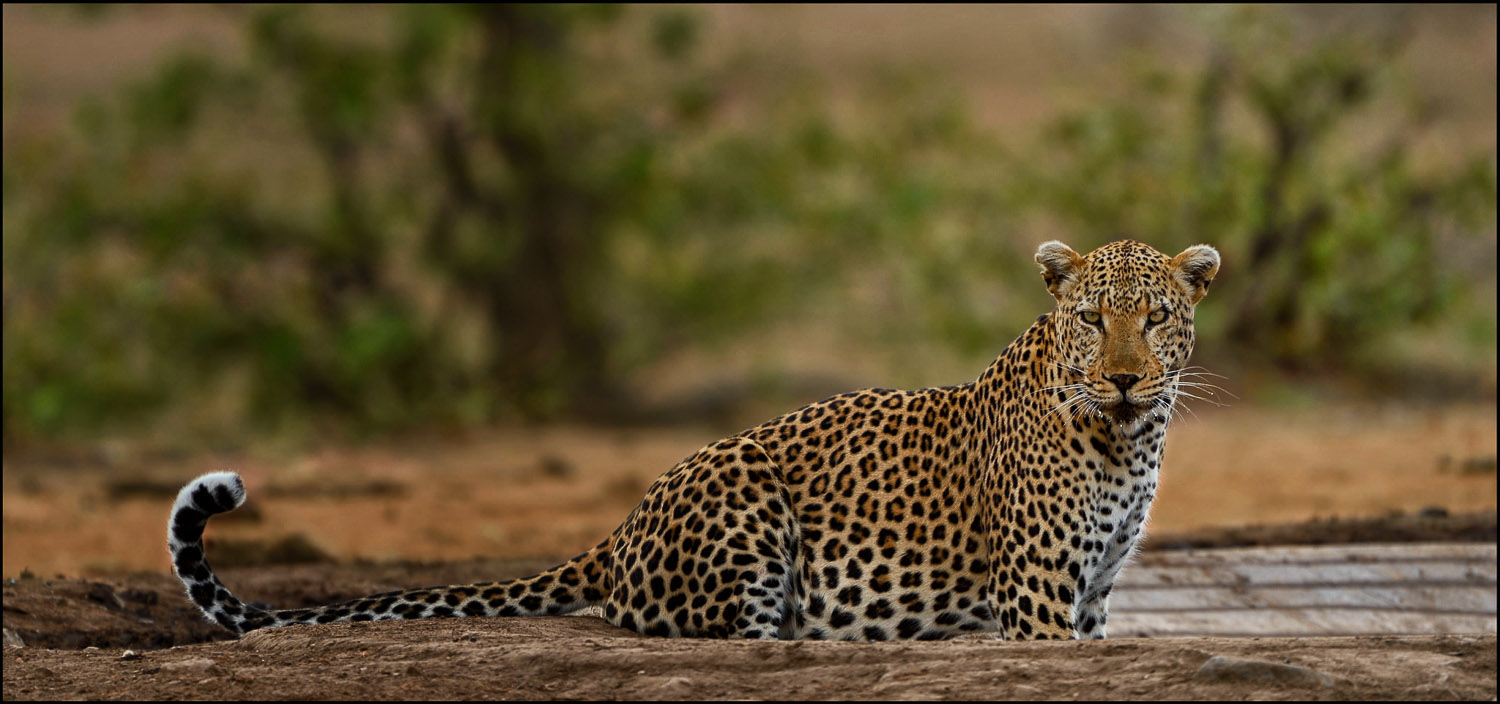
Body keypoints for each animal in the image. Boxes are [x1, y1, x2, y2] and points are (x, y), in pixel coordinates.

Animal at [168, 238, 1220, 641]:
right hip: (748, 519)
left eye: (1157, 318)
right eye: (1091, 319)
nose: (1125, 376)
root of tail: (620, 528)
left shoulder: (1093, 594)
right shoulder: (1038, 594)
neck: (1127, 442)